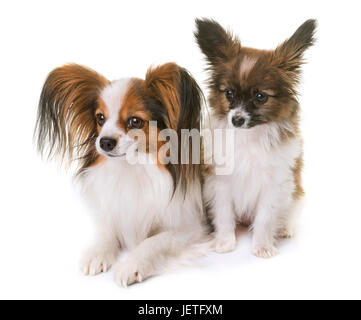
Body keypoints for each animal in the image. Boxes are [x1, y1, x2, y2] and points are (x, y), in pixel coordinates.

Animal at [35, 62, 208, 284]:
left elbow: (153, 242)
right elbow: (107, 232)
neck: (131, 168)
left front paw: (131, 265)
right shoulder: (114, 210)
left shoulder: (189, 228)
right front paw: (97, 253)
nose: (104, 142)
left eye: (135, 121)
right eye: (100, 118)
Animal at [194, 18, 316, 258]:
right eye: (229, 94)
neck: (249, 137)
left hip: (296, 194)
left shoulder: (274, 185)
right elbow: (224, 215)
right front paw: (225, 243)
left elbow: (265, 219)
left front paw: (262, 246)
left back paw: (286, 228)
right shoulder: (220, 182)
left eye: (260, 97)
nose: (237, 119)